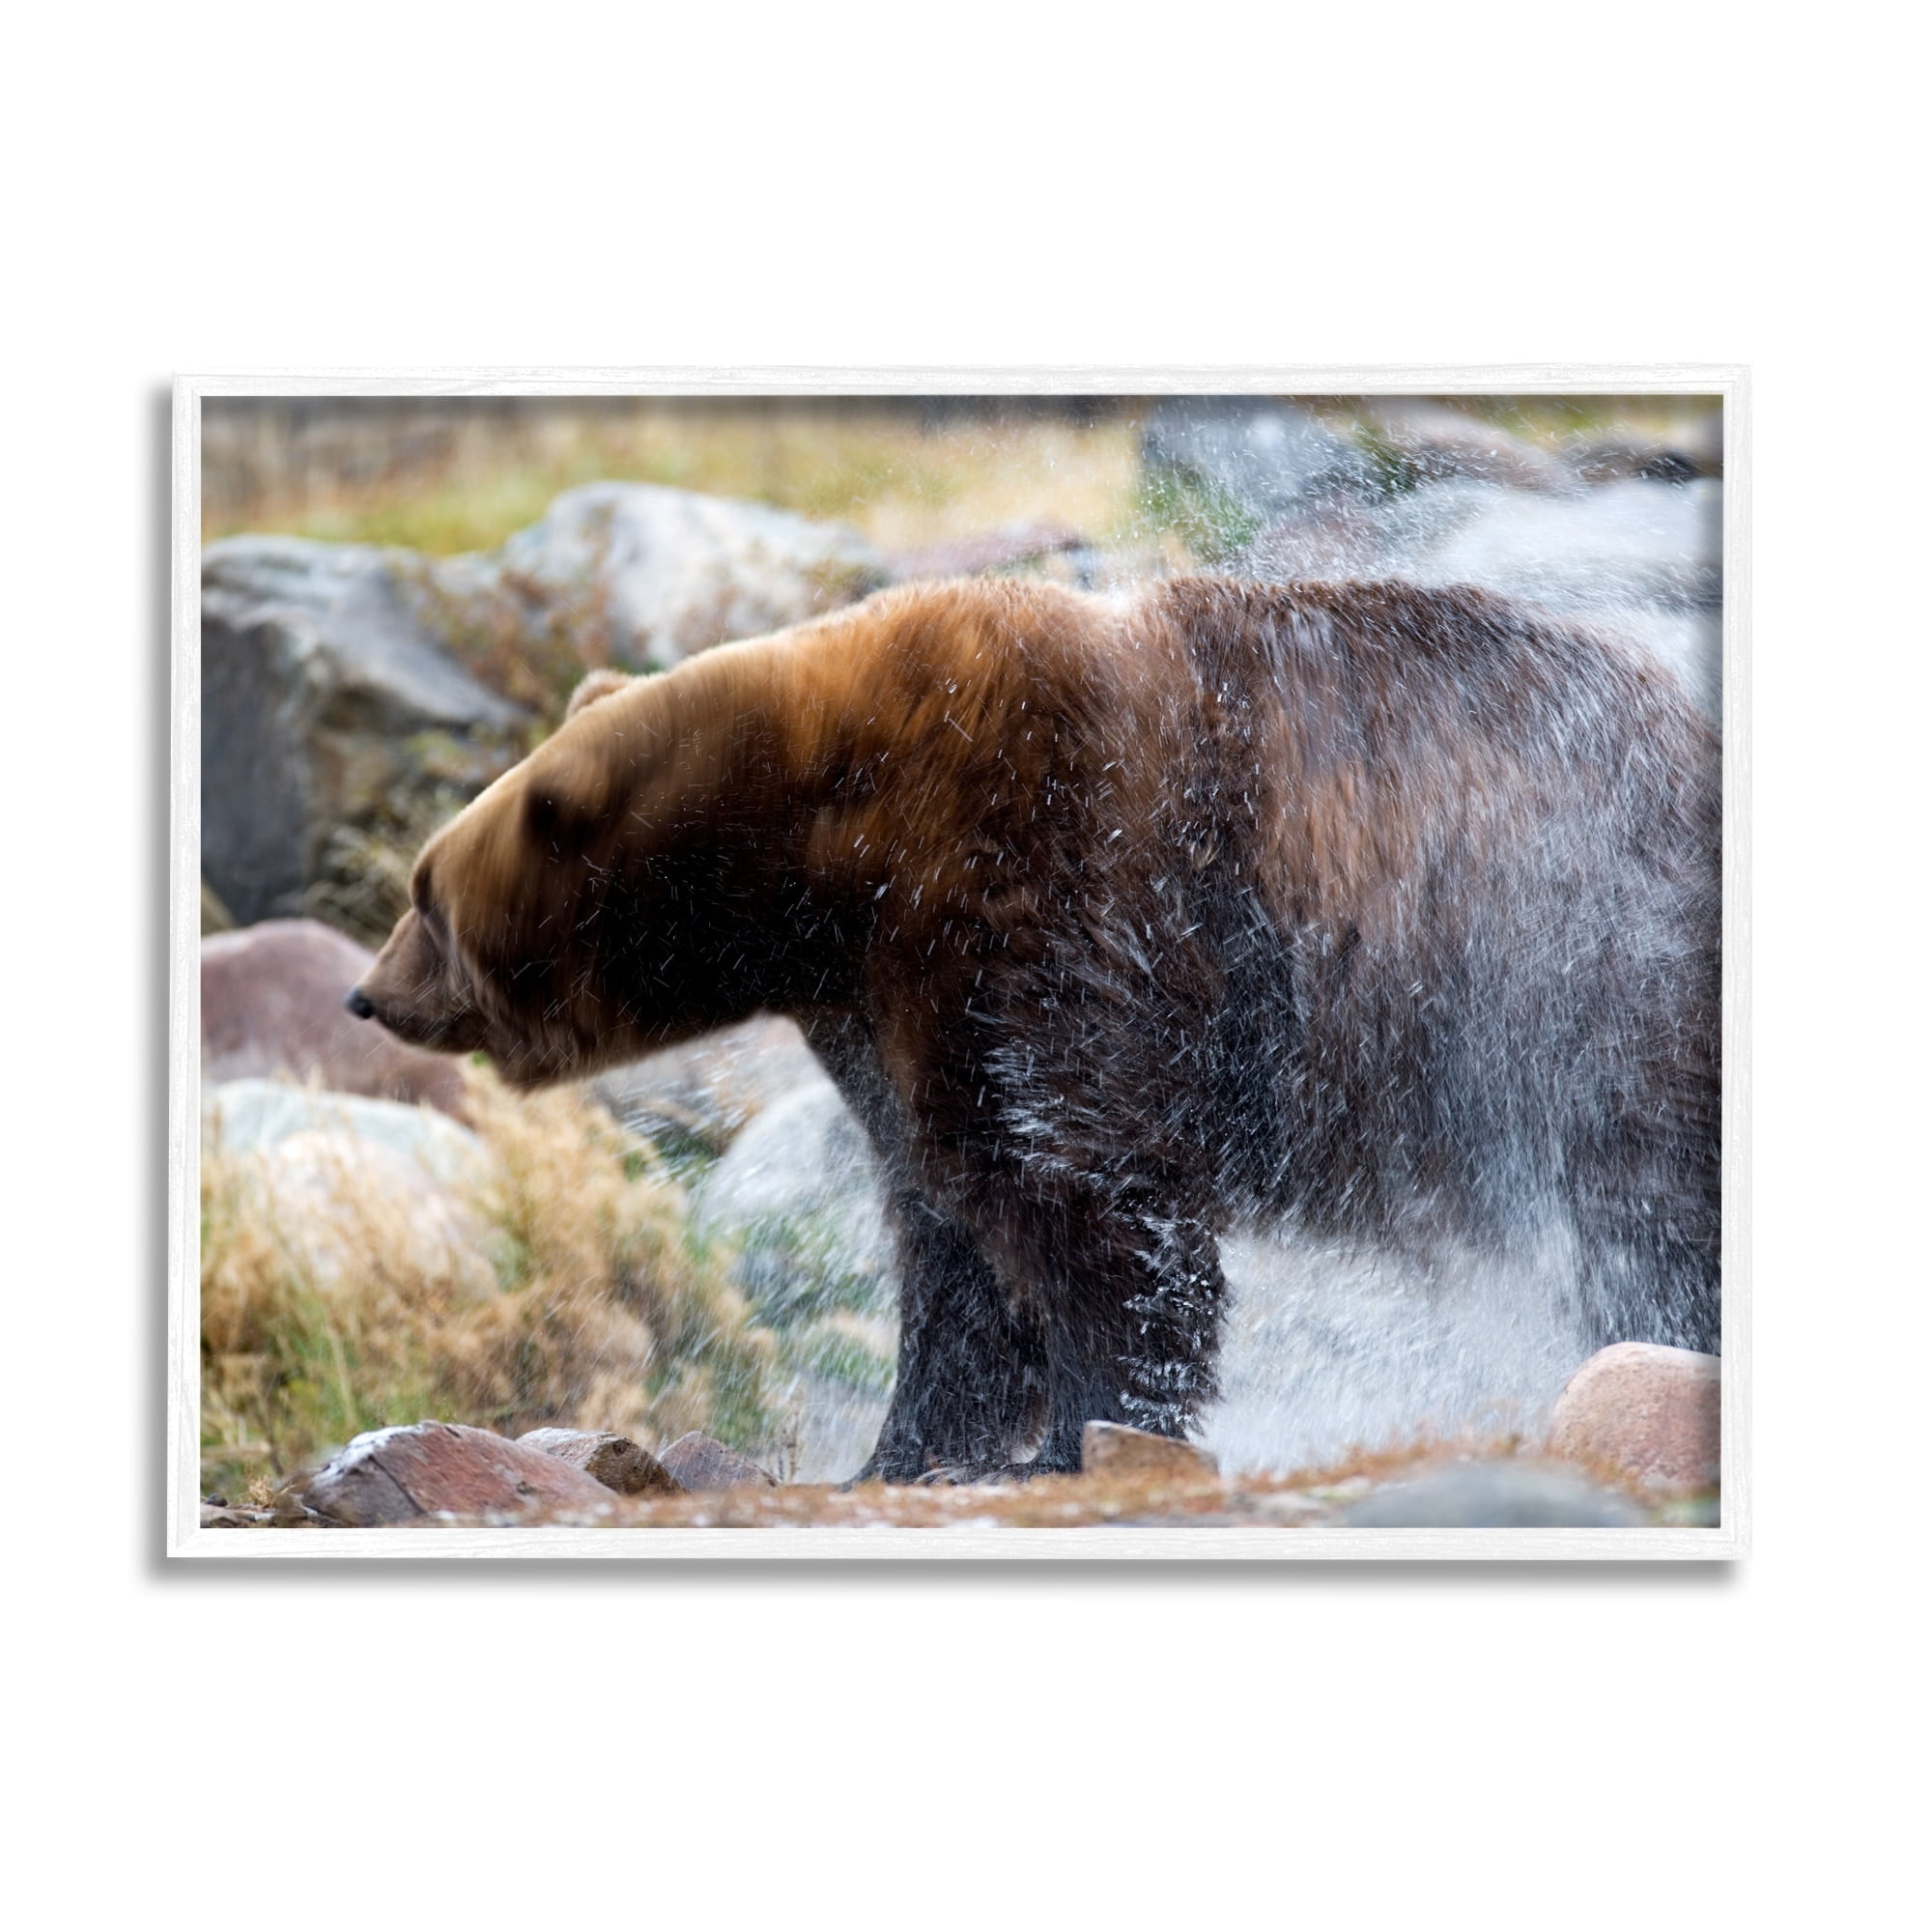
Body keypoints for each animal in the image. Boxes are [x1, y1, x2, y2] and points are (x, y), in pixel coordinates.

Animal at [347, 575, 1721, 1483]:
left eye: (423, 894)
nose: (365, 994)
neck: (820, 853)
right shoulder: (876, 1006)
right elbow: (949, 1228)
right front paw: (903, 1447)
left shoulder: (1034, 870)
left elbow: (1080, 1192)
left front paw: (1082, 1429)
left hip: (1590, 997)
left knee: (1647, 1231)